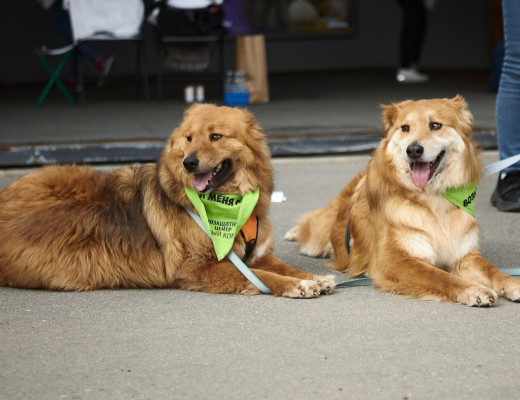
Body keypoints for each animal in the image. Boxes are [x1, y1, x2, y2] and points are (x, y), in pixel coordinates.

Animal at [0, 103, 334, 296]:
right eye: (188, 138)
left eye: (216, 136)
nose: (189, 163)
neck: (230, 202)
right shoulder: (199, 268)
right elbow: (265, 277)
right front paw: (297, 285)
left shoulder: (257, 256)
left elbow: (285, 267)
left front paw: (314, 277)